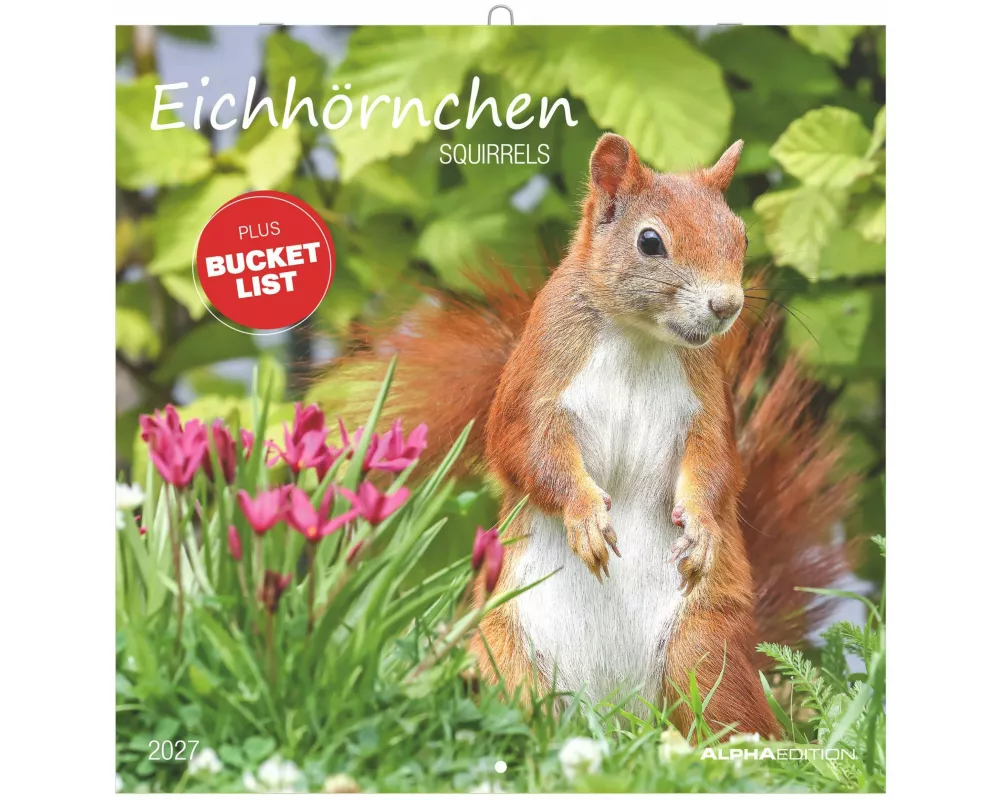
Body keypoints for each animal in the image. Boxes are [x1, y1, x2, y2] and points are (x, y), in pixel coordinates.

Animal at [333, 133, 854, 739]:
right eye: (650, 241)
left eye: (741, 234)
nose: (726, 305)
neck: (638, 338)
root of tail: (612, 717)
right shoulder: (537, 381)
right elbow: (526, 451)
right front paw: (584, 516)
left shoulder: (706, 402)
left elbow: (717, 466)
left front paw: (702, 527)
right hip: (506, 656)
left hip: (701, 650)